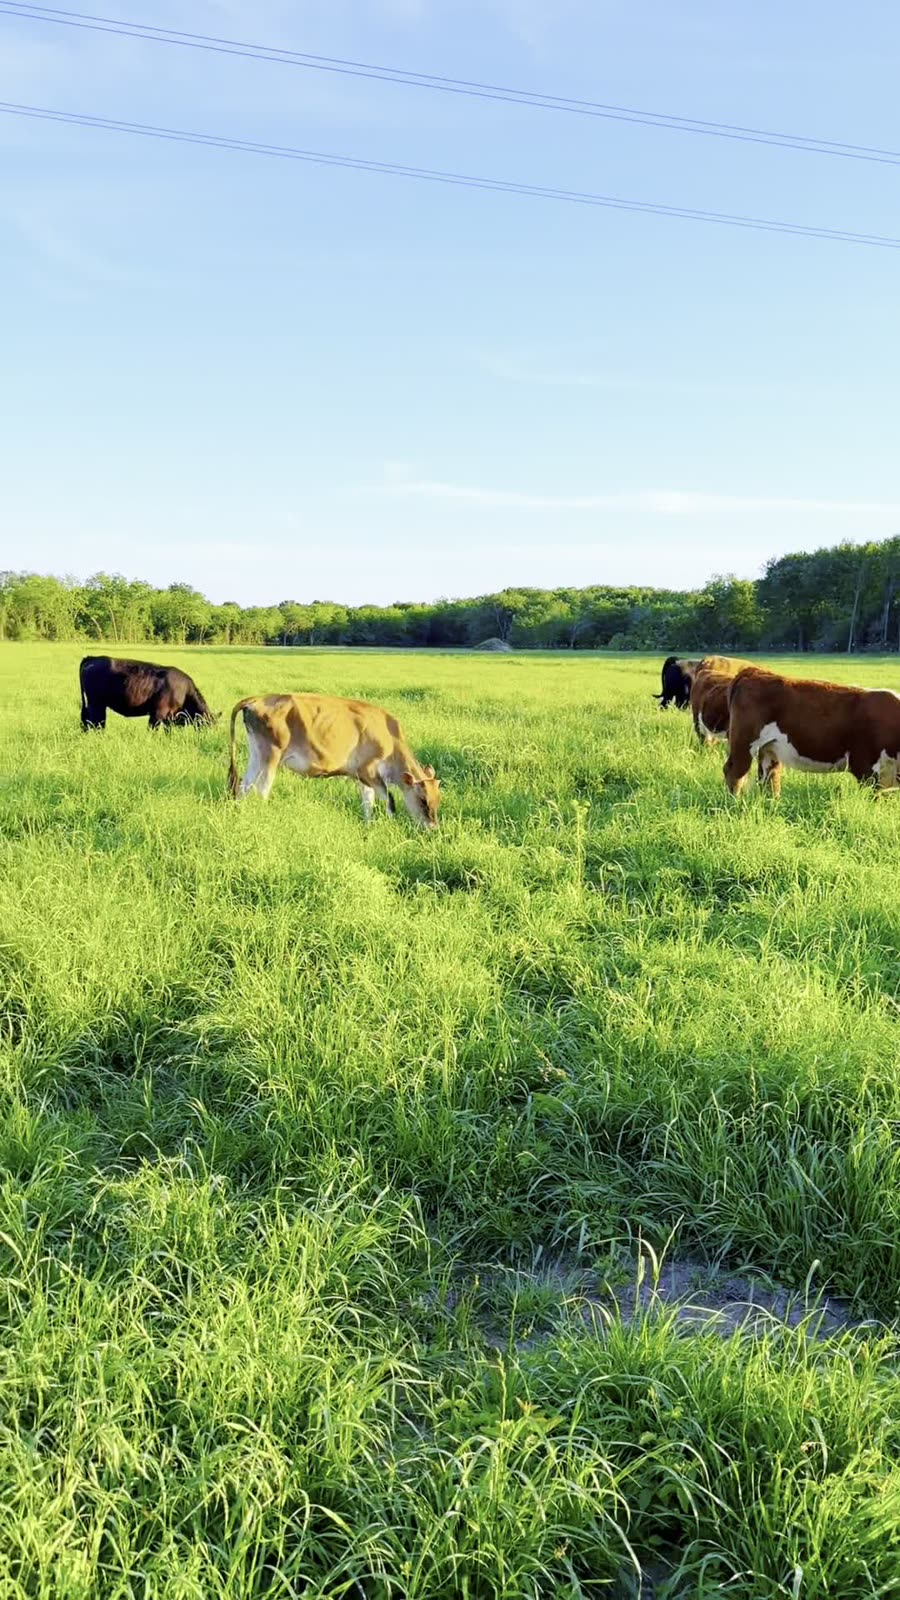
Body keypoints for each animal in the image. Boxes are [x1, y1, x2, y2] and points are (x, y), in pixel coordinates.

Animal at [79, 656, 215, 731]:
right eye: (206, 724)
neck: (185, 692)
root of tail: (93, 658)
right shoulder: (157, 713)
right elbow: (152, 730)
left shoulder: (170, 718)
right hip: (96, 704)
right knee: (94, 722)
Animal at [228, 693, 442, 826]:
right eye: (423, 800)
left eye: (438, 800)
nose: (433, 827)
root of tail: (257, 699)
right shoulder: (369, 771)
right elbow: (390, 801)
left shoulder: (362, 777)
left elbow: (368, 802)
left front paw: (369, 827)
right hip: (271, 755)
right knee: (261, 790)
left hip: (257, 754)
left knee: (244, 787)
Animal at [724, 667, 900, 796]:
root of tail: (754, 672)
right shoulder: (864, 765)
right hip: (744, 744)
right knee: (734, 773)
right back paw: (735, 804)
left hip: (769, 748)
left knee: (769, 777)